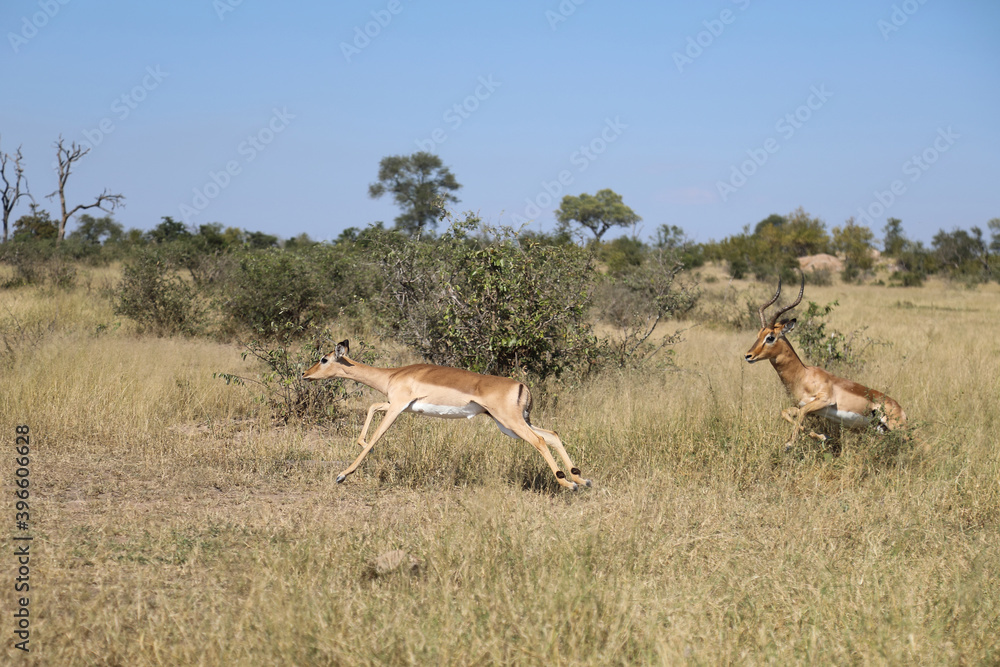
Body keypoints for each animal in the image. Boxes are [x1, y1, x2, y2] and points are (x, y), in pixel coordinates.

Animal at [302, 340, 592, 490]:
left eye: (324, 359)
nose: (305, 374)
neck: (392, 375)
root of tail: (521, 385)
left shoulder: (397, 407)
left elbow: (377, 435)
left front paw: (342, 475)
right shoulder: (399, 406)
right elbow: (372, 408)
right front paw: (363, 446)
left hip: (511, 422)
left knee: (540, 441)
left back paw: (568, 483)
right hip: (511, 424)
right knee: (552, 435)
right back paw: (581, 478)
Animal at [744, 272, 907, 448]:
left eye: (770, 337)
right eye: (758, 335)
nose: (748, 355)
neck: (803, 376)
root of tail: (900, 409)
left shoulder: (825, 400)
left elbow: (801, 414)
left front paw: (790, 444)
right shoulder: (805, 406)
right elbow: (787, 413)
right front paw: (823, 437)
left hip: (896, 427)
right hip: (880, 429)